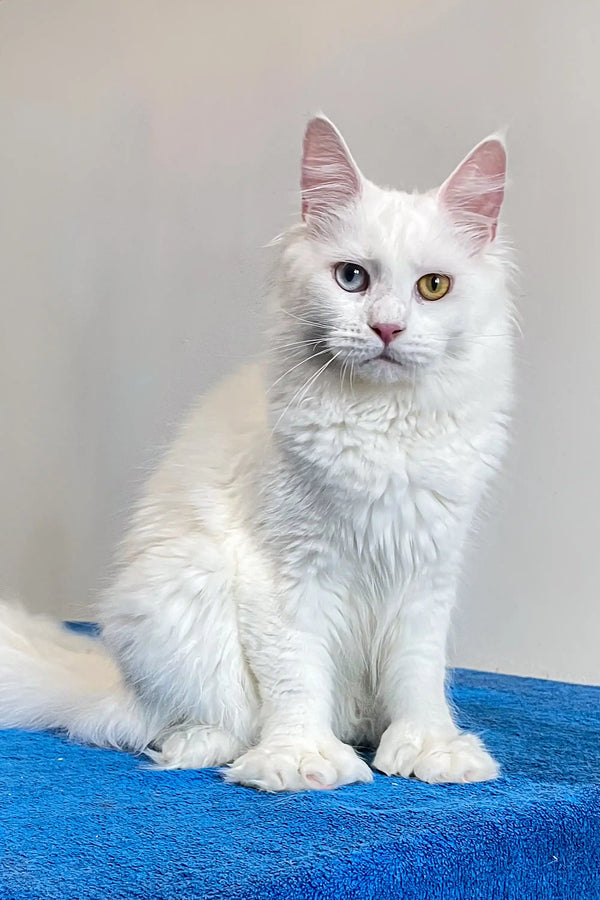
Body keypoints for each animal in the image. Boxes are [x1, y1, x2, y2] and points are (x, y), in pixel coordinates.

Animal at [1, 116, 516, 792]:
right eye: (352, 278)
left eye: (433, 287)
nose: (386, 329)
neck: (383, 425)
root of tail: (117, 684)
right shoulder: (287, 572)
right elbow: (295, 677)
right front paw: (301, 760)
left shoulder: (425, 571)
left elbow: (419, 676)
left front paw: (430, 749)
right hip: (185, 596)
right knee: (173, 725)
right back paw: (209, 746)